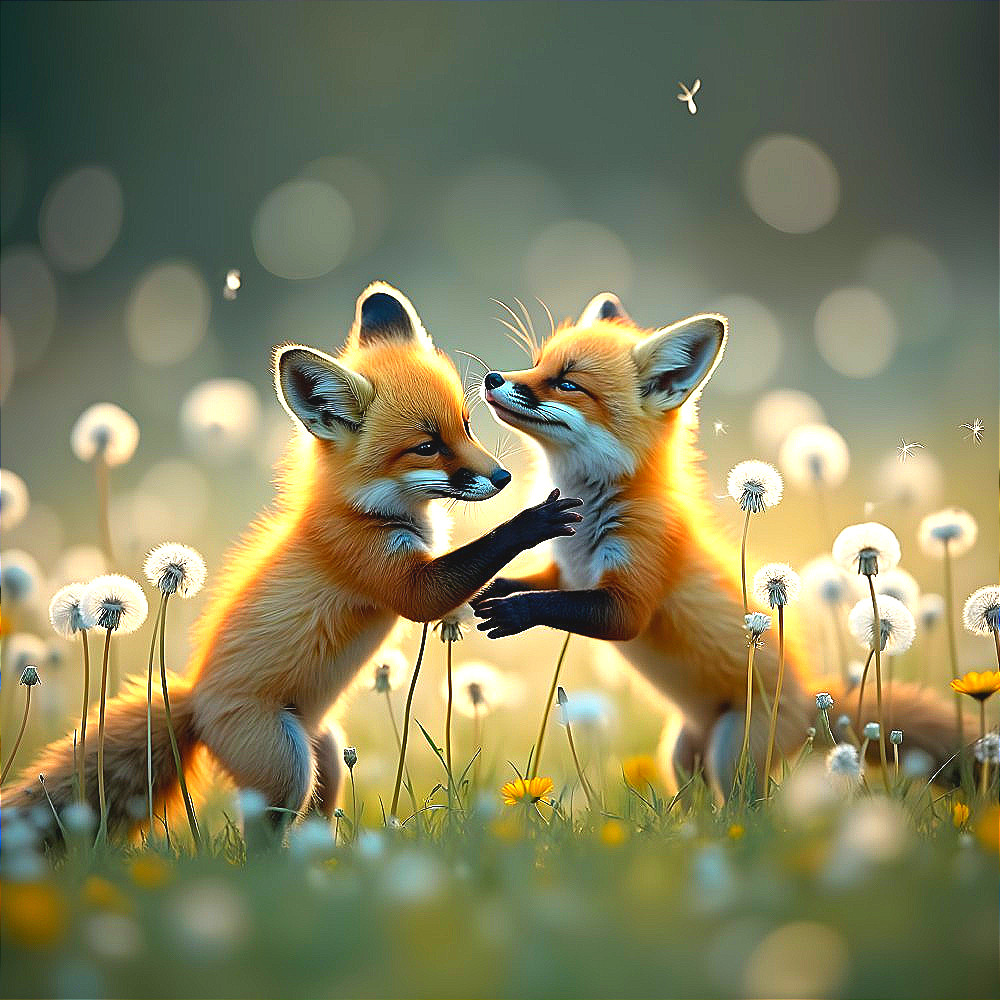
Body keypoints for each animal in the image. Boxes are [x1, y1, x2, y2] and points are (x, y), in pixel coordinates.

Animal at [7, 282, 582, 840]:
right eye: (427, 446)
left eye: (465, 425)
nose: (503, 478)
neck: (367, 510)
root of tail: (192, 700)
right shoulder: (387, 571)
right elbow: (442, 586)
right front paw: (532, 522)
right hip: (288, 768)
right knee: (259, 845)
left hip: (324, 758)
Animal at [472, 291, 958, 793]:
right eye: (537, 365)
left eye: (567, 383)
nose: (492, 378)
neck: (589, 521)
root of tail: (813, 701)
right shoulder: (568, 573)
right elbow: (536, 583)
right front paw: (491, 589)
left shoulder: (631, 590)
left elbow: (571, 607)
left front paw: (515, 612)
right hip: (680, 757)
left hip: (729, 755)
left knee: (751, 806)